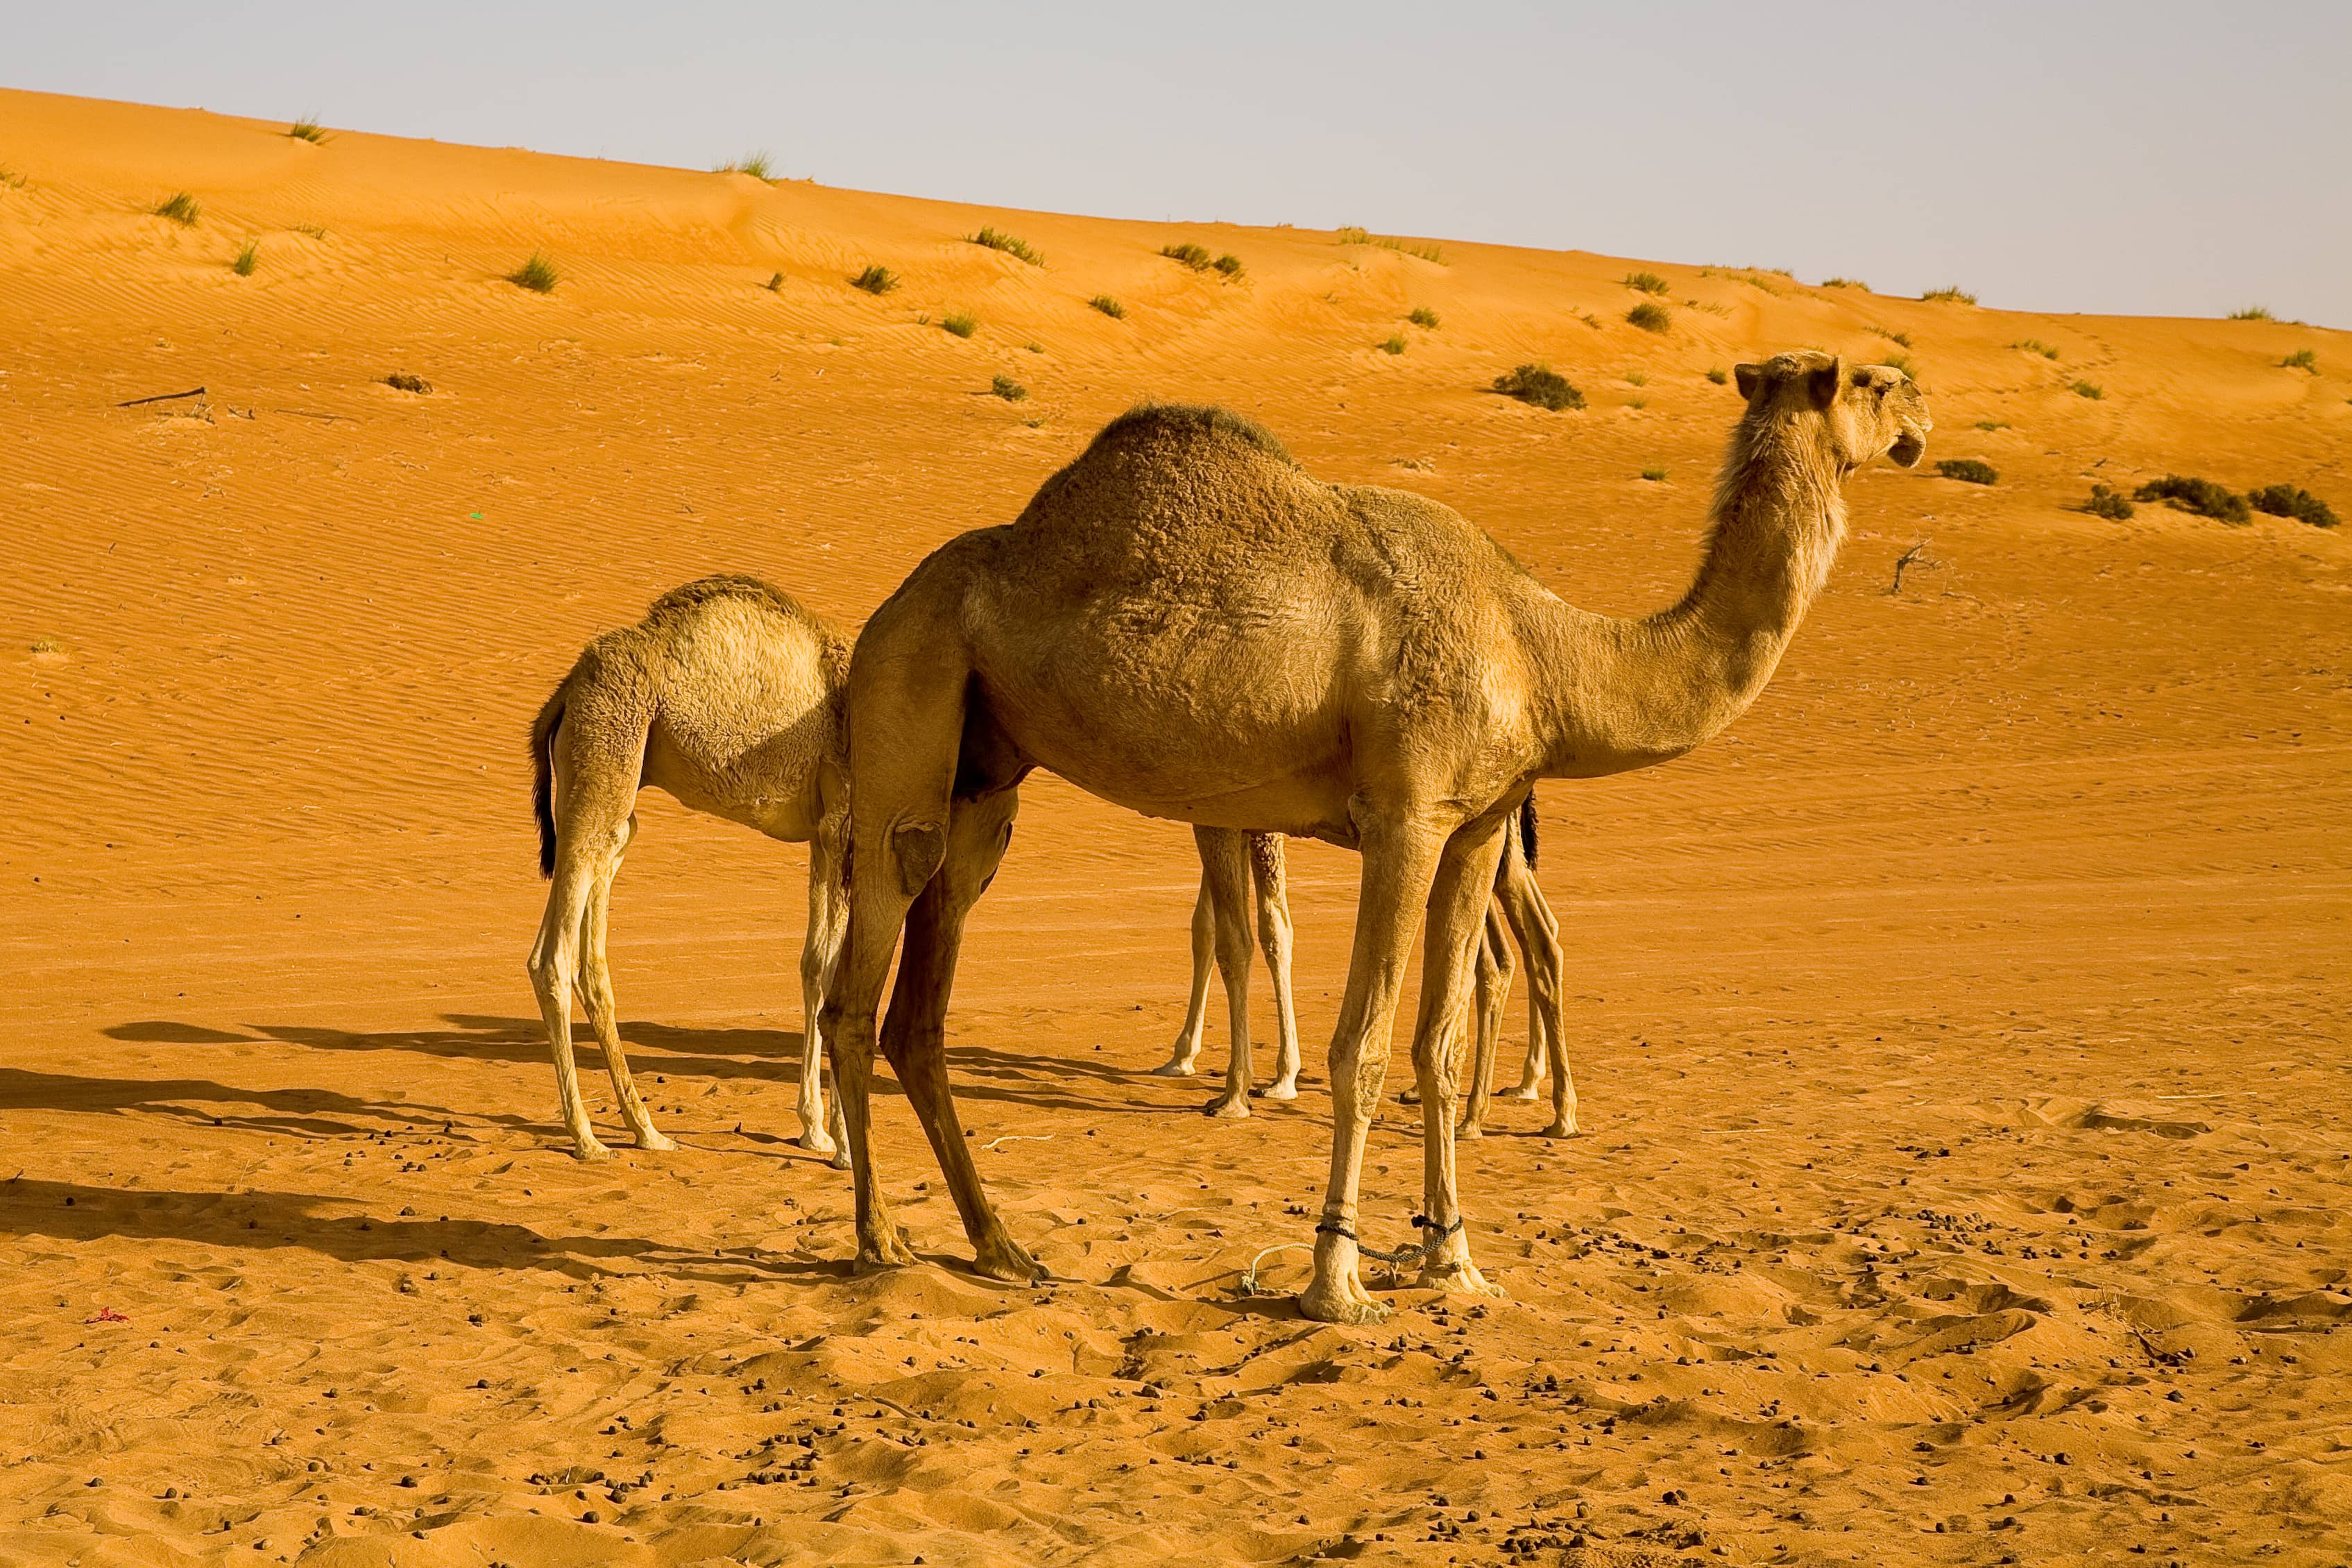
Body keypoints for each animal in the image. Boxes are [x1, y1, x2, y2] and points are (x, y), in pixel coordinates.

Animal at [526, 576, 851, 1165]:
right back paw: (587, 1139)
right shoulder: (845, 821)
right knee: (552, 960)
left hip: (605, 790)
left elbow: (815, 967)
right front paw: (843, 1145)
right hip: (606, 753)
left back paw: (645, 1129)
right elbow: (837, 973)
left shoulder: (824, 834)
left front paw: (815, 1129)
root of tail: (563, 693)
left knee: (592, 946)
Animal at [1159, 800, 1576, 1140]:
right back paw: (1525, 1097)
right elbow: (1205, 927)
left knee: (1504, 955)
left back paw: (1498, 1115)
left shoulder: (1254, 827)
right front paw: (1181, 1057)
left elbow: (1273, 930)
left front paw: (1275, 1081)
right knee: (1535, 939)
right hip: (1495, 850)